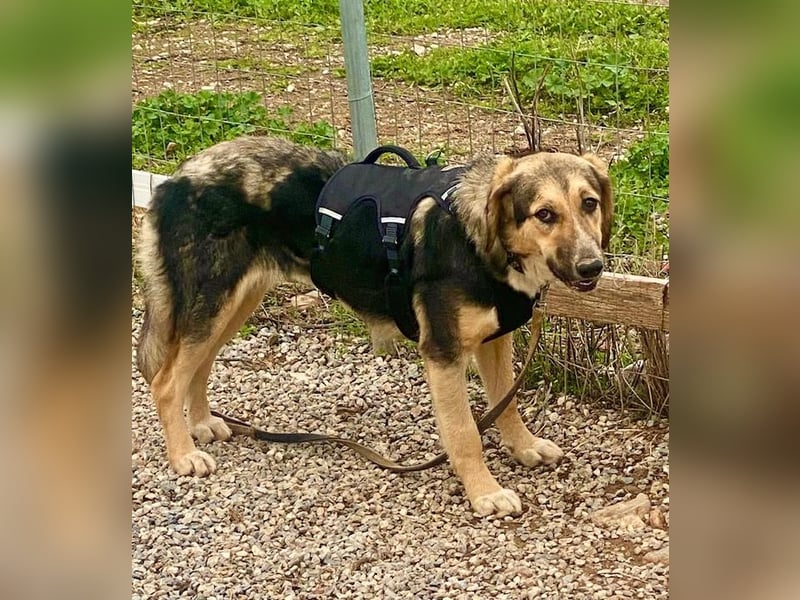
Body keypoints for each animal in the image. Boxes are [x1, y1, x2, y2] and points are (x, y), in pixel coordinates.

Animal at [136, 136, 613, 516]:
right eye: (544, 214)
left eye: (589, 203)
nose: (593, 266)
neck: (476, 237)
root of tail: (176, 178)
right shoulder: (442, 353)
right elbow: (464, 433)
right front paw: (484, 492)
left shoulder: (495, 341)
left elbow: (506, 405)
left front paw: (524, 447)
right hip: (214, 302)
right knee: (166, 382)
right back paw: (183, 455)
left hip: (233, 303)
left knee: (199, 367)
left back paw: (201, 424)